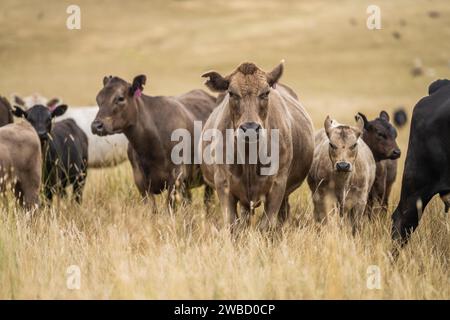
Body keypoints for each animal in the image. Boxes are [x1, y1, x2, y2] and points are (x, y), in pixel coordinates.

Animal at [90, 74, 217, 211]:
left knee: (208, 201)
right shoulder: (140, 180)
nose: (96, 125)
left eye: (120, 98)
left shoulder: (176, 176)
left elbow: (169, 207)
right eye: (98, 98)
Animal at [199, 62, 314, 232]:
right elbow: (232, 224)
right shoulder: (223, 184)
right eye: (231, 93)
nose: (250, 128)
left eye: (265, 93)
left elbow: (266, 224)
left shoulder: (278, 185)